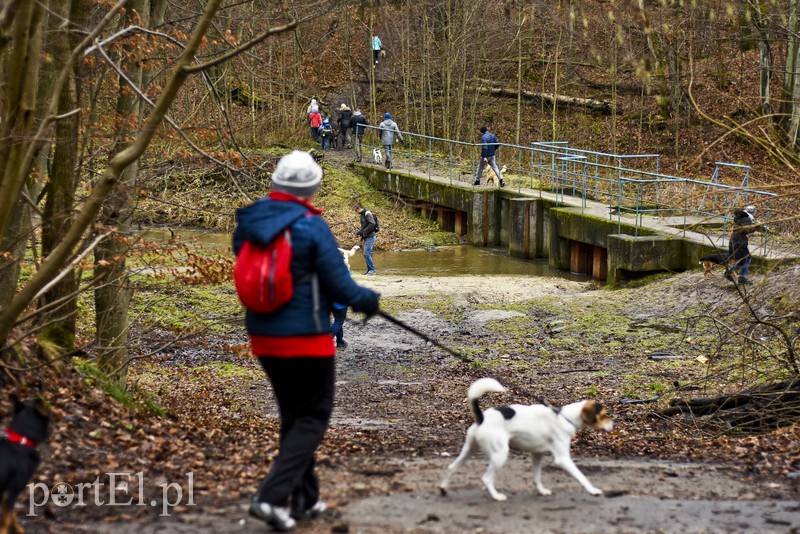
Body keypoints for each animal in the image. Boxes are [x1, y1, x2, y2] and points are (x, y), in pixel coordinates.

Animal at [438, 376, 612, 502]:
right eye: (604, 415)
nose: (614, 424)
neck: (565, 416)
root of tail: (482, 418)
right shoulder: (562, 459)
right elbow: (581, 477)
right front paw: (593, 491)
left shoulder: (537, 454)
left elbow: (536, 477)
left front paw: (541, 491)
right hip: (500, 455)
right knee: (486, 478)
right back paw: (496, 496)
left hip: (469, 450)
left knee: (452, 467)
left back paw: (443, 488)